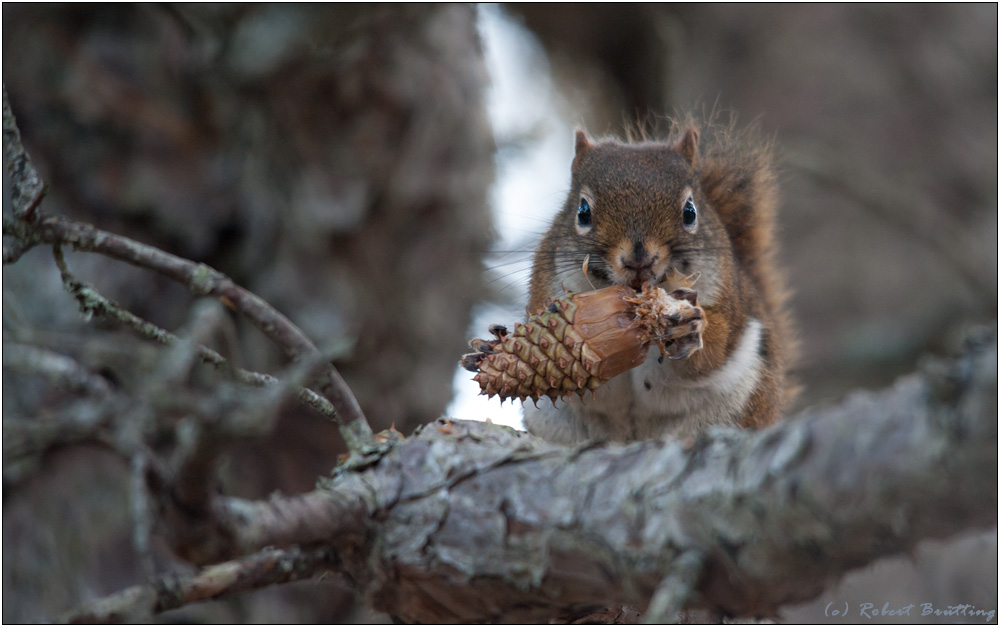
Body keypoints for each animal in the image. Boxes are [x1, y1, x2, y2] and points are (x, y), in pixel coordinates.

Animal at [524, 120, 796, 444]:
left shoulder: (730, 299)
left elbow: (714, 351)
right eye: (583, 212)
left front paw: (690, 329)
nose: (639, 259)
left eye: (690, 212)